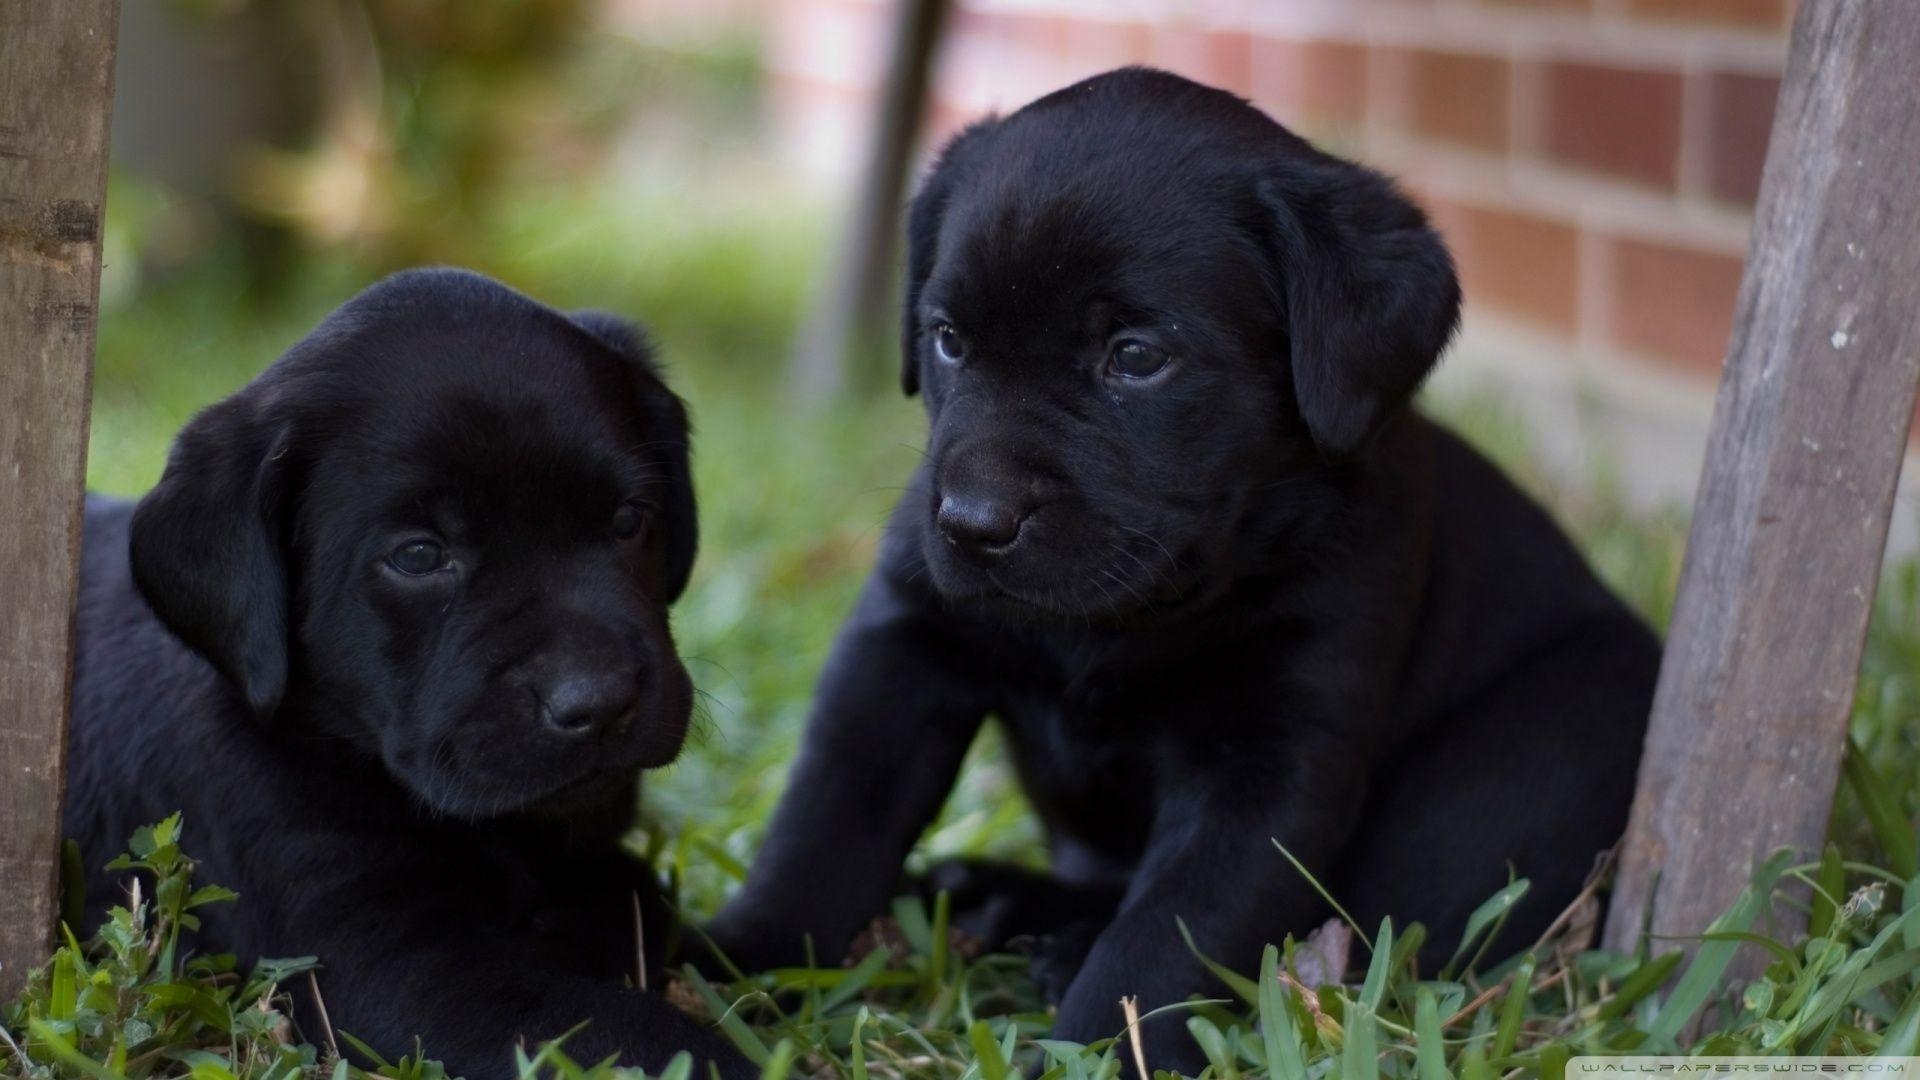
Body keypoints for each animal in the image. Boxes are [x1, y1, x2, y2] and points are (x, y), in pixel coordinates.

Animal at [65, 267, 741, 1076]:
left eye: (631, 517)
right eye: (419, 556)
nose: (602, 702)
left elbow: (660, 916)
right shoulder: (382, 965)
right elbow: (620, 1028)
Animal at [714, 67, 1658, 1068]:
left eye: (1135, 357)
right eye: (948, 339)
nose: (972, 523)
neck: (1122, 621)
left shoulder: (1271, 758)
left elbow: (1170, 932)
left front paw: (1098, 1050)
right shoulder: (901, 646)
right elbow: (824, 826)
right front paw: (733, 960)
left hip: (1524, 764)